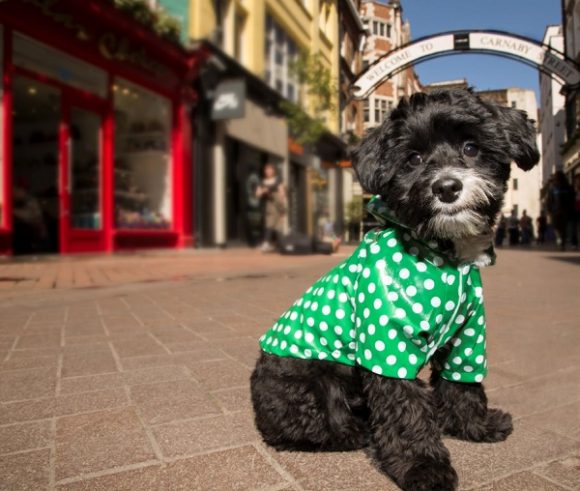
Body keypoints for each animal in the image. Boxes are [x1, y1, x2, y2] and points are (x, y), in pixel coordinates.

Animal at [249, 89, 540, 491]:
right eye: (413, 158)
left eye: (471, 147)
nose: (446, 187)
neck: (443, 256)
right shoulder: (388, 345)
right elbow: (406, 413)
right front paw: (423, 467)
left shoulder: (467, 336)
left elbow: (463, 385)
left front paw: (475, 426)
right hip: (311, 385)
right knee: (303, 428)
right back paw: (354, 432)